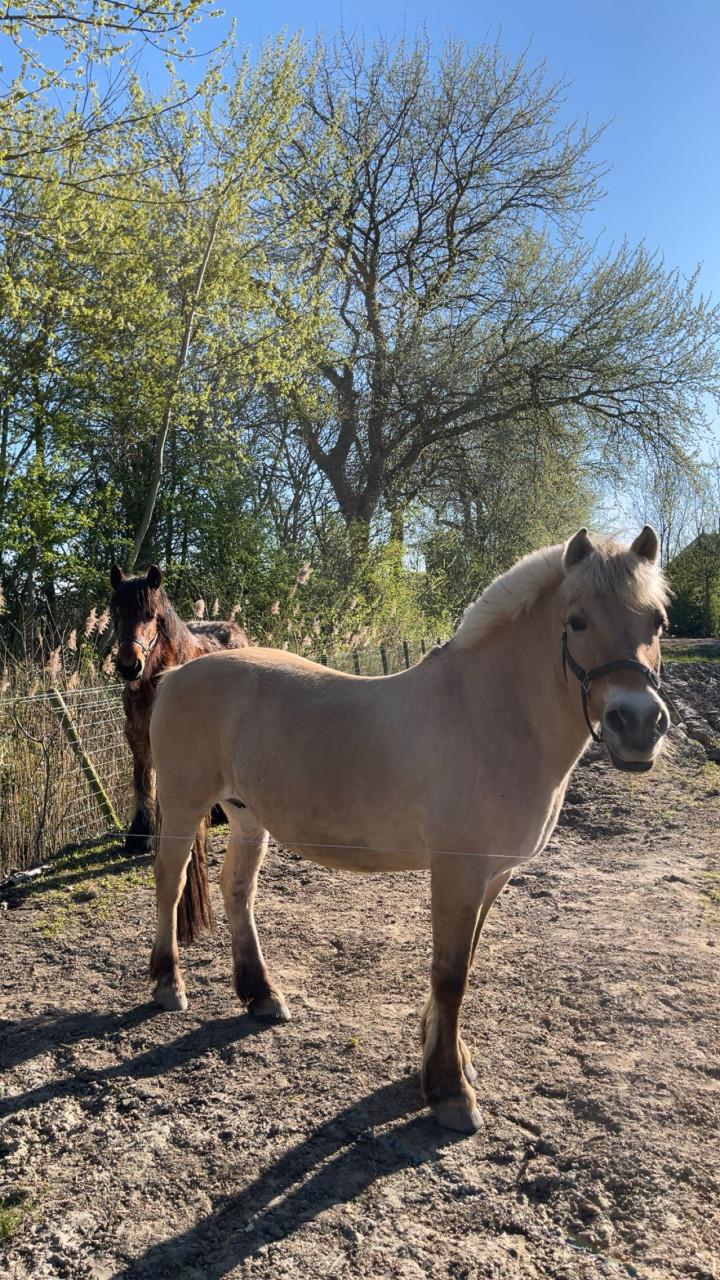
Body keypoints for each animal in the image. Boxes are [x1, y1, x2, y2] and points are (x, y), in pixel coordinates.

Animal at [109, 564, 247, 936]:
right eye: (115, 612)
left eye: (151, 615)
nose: (128, 665)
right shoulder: (138, 738)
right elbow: (142, 781)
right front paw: (139, 834)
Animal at [147, 527, 674, 1132]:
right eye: (578, 620)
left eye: (657, 621)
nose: (638, 725)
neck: (490, 718)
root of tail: (175, 674)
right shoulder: (458, 872)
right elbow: (450, 975)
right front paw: (449, 1092)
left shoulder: (492, 877)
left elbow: (465, 964)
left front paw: (451, 1061)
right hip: (184, 805)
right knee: (169, 882)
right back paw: (167, 984)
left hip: (247, 815)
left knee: (237, 890)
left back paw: (261, 996)